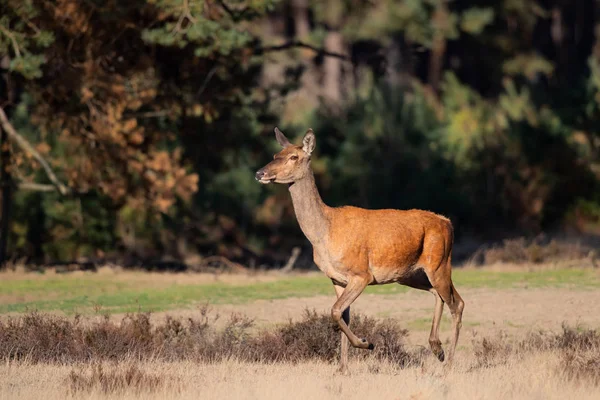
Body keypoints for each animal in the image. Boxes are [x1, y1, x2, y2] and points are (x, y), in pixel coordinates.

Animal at [253, 127, 464, 372]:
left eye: (293, 157)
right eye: (275, 154)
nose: (260, 173)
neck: (324, 233)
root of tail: (448, 223)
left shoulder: (361, 274)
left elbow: (335, 311)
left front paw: (366, 343)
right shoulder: (337, 279)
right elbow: (342, 316)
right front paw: (342, 368)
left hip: (439, 262)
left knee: (457, 303)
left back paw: (448, 363)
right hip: (410, 274)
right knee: (438, 294)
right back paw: (437, 349)